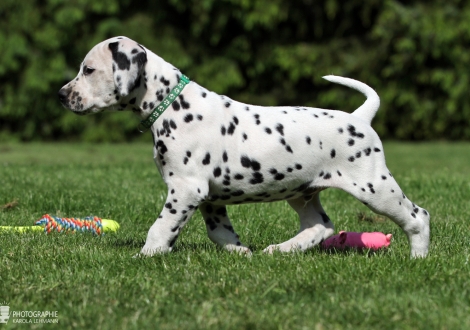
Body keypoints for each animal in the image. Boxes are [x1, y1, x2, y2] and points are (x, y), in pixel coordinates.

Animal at [57, 36, 430, 258]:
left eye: (88, 70)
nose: (61, 95)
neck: (172, 103)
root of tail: (359, 117)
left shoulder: (186, 189)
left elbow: (161, 227)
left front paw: (146, 256)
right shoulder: (209, 197)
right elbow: (219, 232)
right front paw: (241, 253)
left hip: (374, 186)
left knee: (417, 216)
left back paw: (418, 256)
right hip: (303, 191)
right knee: (320, 226)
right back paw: (280, 250)